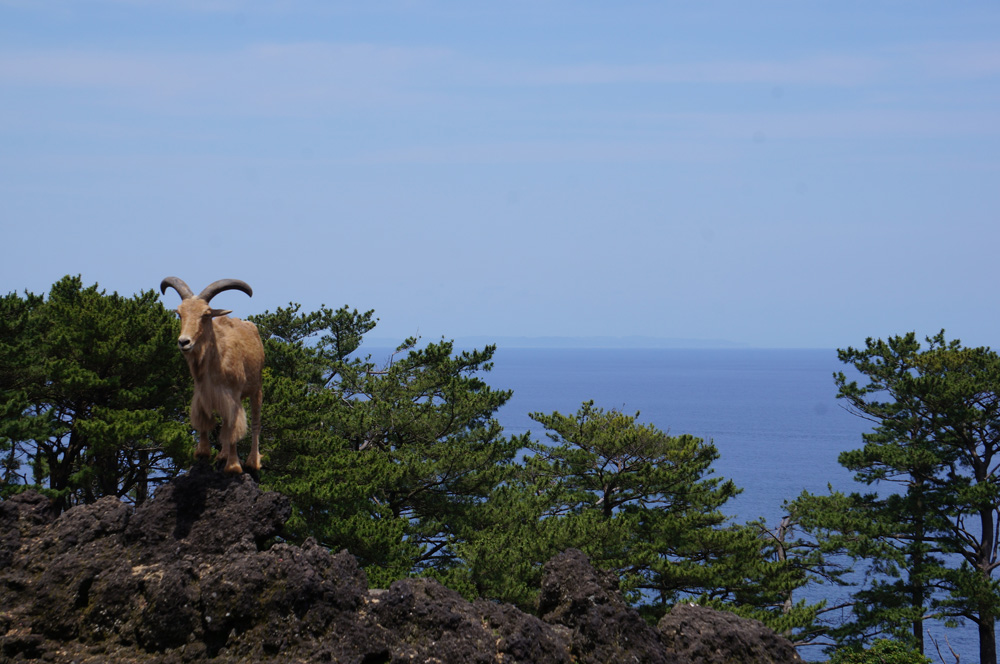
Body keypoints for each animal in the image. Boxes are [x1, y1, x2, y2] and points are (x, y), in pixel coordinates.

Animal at [159, 278, 264, 474]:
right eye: (180, 313)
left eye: (206, 314)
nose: (184, 342)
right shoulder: (203, 394)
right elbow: (205, 422)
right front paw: (202, 453)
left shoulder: (233, 398)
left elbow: (233, 428)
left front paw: (233, 466)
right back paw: (222, 455)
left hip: (257, 389)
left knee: (255, 423)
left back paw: (253, 462)